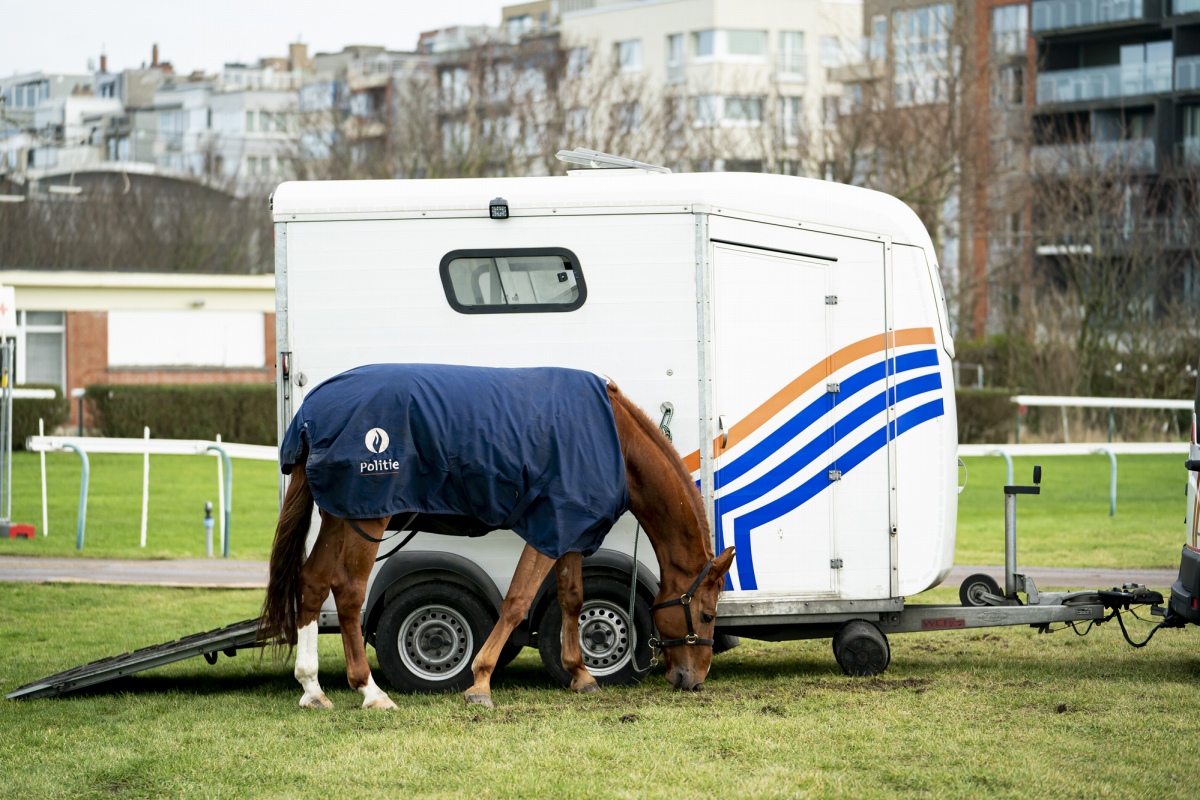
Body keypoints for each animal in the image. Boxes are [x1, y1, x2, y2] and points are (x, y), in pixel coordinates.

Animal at [258, 367, 734, 710]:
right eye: (707, 615)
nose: (693, 680)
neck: (615, 439)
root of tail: (313, 413)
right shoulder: (549, 529)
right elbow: (517, 601)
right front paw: (481, 681)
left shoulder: (569, 531)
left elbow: (573, 598)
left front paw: (580, 674)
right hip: (369, 515)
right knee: (349, 591)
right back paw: (370, 691)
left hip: (341, 514)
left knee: (313, 582)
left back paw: (312, 688)